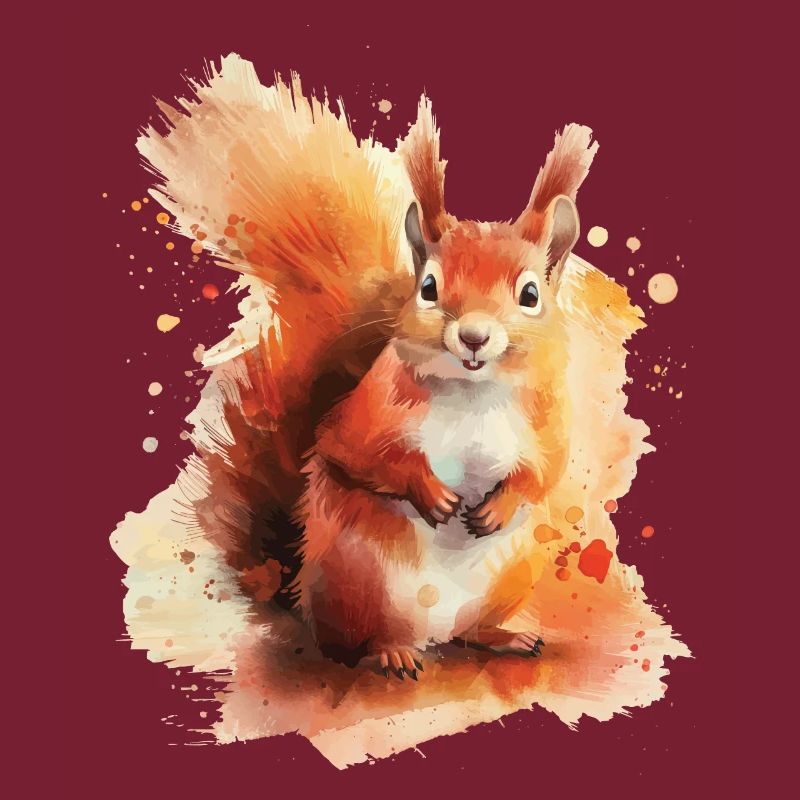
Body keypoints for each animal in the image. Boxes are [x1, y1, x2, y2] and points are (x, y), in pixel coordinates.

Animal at [136, 55, 613, 677]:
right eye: (428, 287)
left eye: (531, 295)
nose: (474, 336)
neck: (474, 392)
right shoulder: (370, 409)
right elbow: (351, 450)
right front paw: (430, 492)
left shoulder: (547, 420)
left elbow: (545, 473)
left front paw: (500, 504)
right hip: (360, 580)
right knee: (349, 644)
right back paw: (390, 653)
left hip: (512, 571)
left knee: (469, 632)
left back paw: (503, 636)